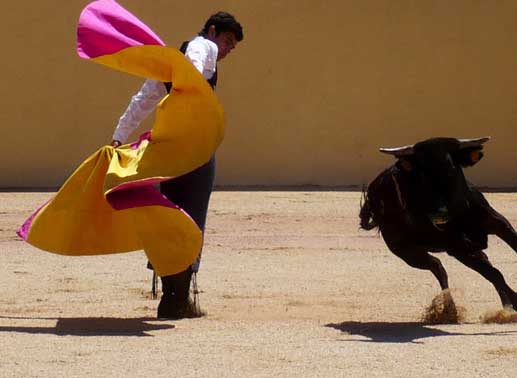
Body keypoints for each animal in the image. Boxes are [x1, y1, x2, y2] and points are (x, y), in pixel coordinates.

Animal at [358, 137, 516, 312]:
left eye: (452, 168)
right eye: (421, 175)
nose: (439, 213)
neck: (461, 215)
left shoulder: (499, 224)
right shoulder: (457, 249)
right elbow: (494, 274)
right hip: (407, 252)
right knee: (438, 267)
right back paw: (450, 309)